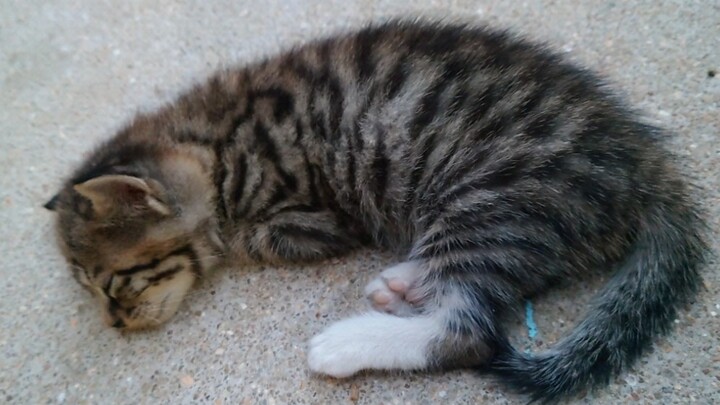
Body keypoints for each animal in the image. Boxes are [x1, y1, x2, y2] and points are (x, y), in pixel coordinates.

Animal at [46, 19, 708, 400]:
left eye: (114, 285)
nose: (114, 324)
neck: (212, 143)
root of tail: (647, 166)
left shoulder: (315, 218)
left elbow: (250, 238)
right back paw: (403, 283)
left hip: (494, 197)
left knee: (469, 331)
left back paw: (346, 345)